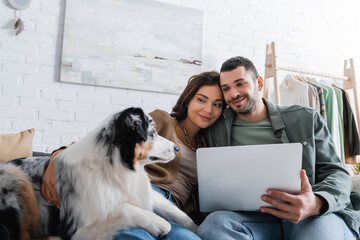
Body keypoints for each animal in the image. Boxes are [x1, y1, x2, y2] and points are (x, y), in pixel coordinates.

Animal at [0, 108, 197, 239]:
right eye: (153, 132)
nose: (177, 148)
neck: (116, 167)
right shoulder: (79, 228)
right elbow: (125, 208)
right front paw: (158, 222)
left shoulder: (143, 193)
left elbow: (173, 209)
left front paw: (195, 227)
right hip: (13, 176)